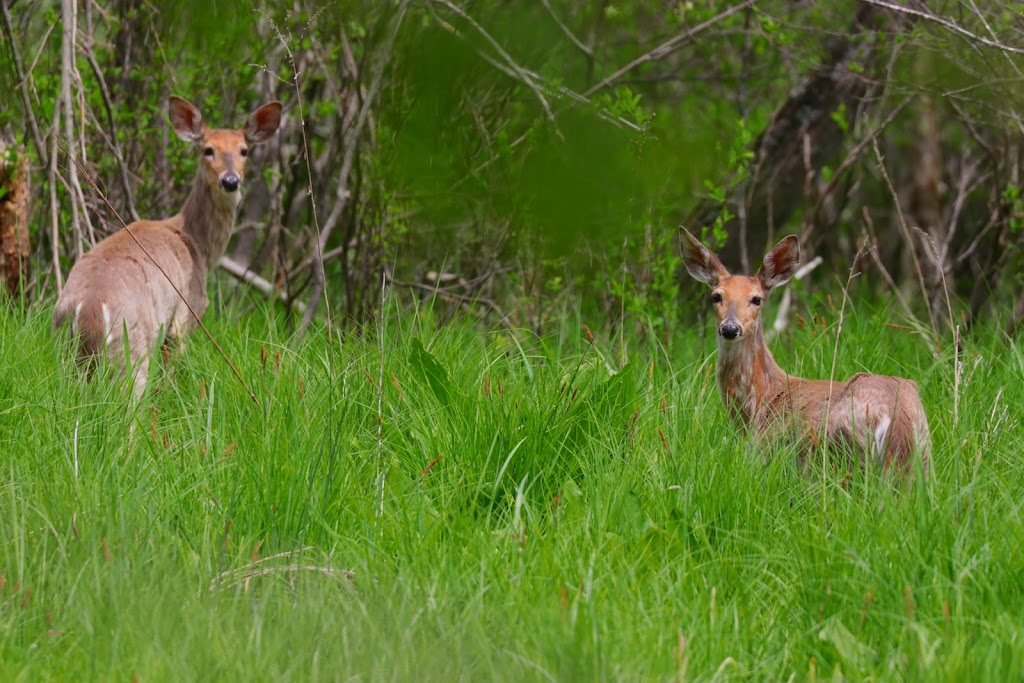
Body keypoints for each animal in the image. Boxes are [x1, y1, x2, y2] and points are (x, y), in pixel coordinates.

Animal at [54, 93, 282, 397]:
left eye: (244, 150)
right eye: (207, 149)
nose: (230, 181)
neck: (197, 245)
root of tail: (87, 309)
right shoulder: (187, 314)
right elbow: (172, 375)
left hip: (65, 351)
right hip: (132, 347)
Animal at [684, 227, 933, 473]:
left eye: (757, 299)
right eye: (716, 296)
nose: (730, 328)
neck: (760, 401)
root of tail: (898, 421)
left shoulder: (763, 450)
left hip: (844, 449)